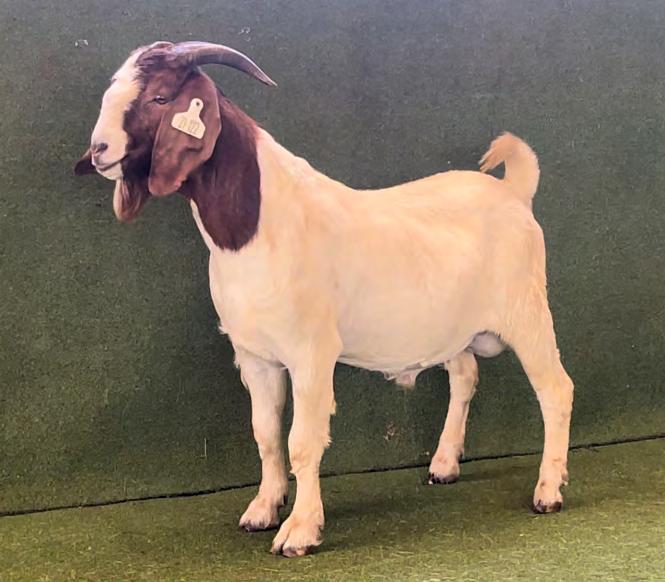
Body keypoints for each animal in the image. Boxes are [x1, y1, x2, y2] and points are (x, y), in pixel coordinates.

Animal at [75, 41, 574, 558]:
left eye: (159, 97)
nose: (99, 151)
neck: (260, 225)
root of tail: (514, 192)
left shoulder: (310, 352)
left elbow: (303, 440)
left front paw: (300, 530)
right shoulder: (254, 356)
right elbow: (266, 434)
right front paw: (262, 510)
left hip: (528, 313)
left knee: (556, 389)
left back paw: (548, 491)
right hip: (451, 328)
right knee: (465, 376)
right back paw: (444, 465)